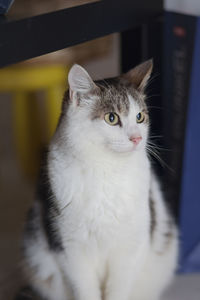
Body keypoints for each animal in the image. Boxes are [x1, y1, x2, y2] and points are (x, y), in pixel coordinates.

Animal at [21, 59, 178, 300]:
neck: (107, 170)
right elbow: (86, 290)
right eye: (111, 118)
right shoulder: (70, 249)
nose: (137, 138)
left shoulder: (130, 248)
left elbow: (118, 289)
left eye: (140, 117)